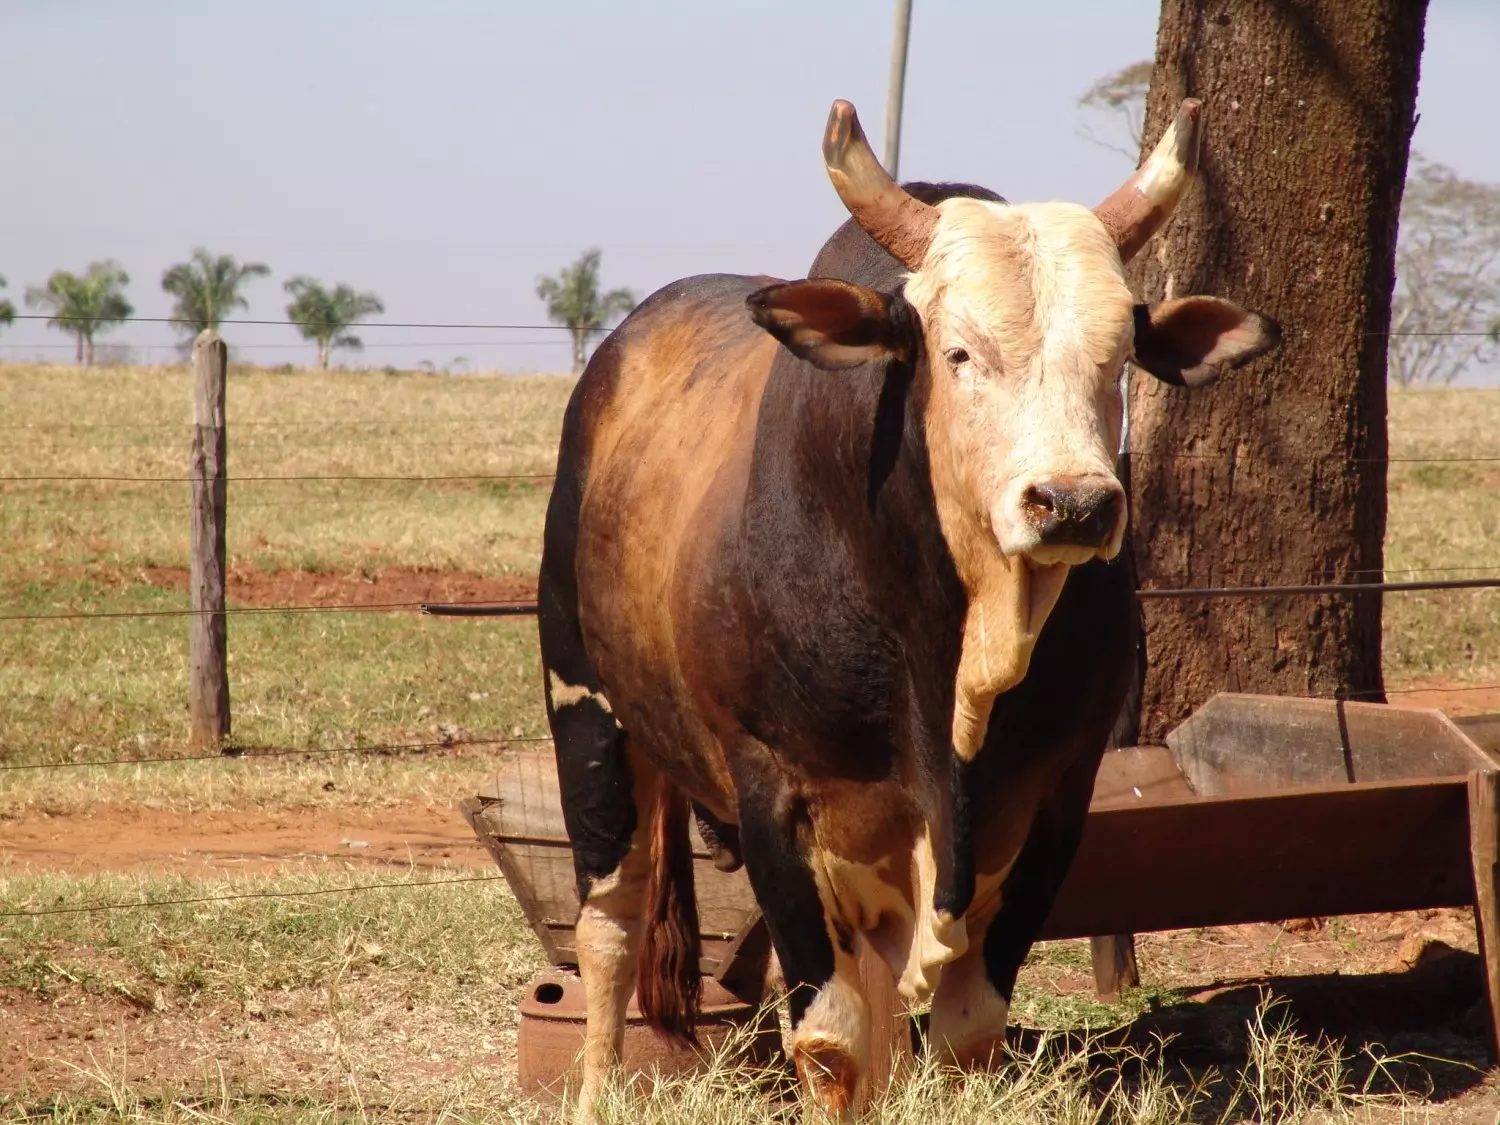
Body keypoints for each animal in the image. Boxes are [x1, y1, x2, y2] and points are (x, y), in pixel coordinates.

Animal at [540, 99, 1278, 1122]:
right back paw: (598, 1086)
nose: (1075, 503)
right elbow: (831, 1042)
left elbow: (964, 1028)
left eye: (1120, 357)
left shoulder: (1056, 800)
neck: (955, 670)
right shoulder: (775, 797)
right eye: (958, 350)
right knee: (607, 926)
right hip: (585, 708)